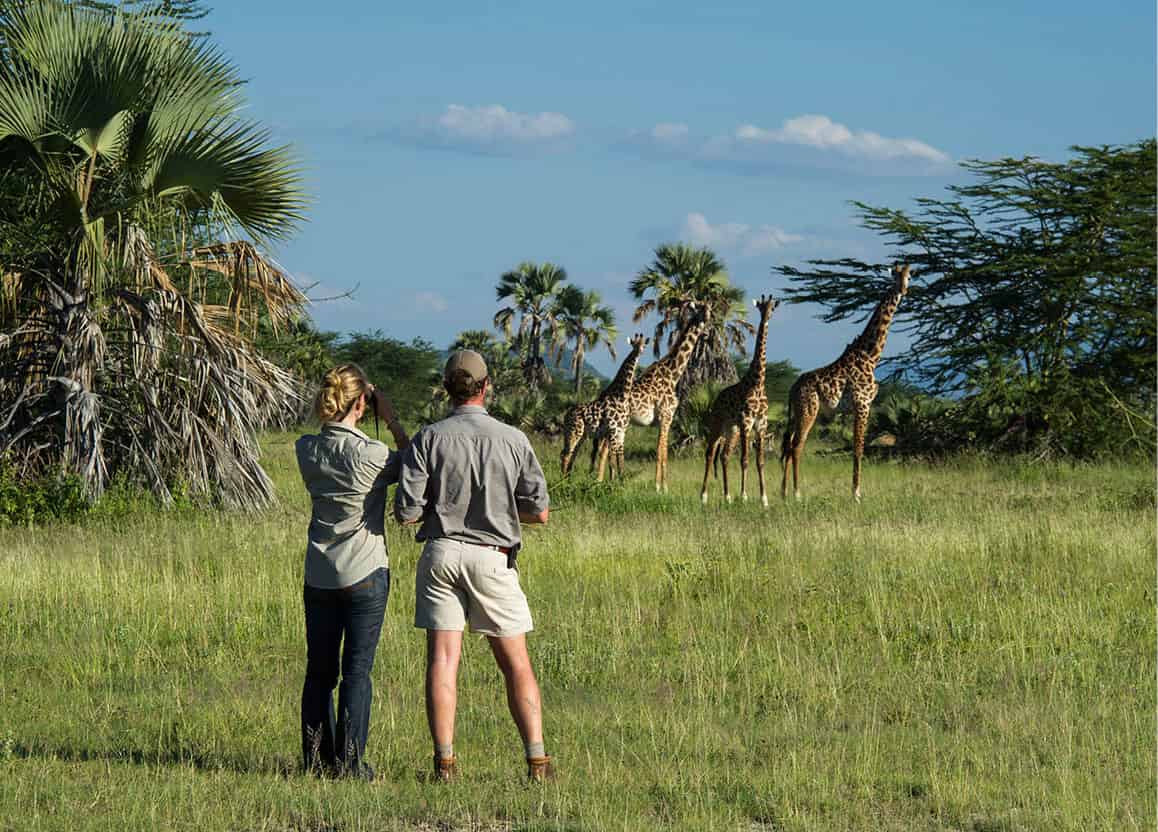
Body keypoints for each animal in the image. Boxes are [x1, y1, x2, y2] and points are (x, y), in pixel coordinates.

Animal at [562, 331, 653, 475]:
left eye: (644, 345)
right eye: (634, 344)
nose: (640, 352)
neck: (621, 394)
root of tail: (566, 416)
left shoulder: (621, 431)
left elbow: (618, 458)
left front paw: (619, 479)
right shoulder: (614, 430)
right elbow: (611, 458)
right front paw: (611, 479)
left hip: (581, 434)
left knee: (571, 454)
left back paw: (568, 477)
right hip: (575, 431)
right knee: (566, 454)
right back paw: (563, 479)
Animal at [620, 303, 708, 491]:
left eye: (710, 311)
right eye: (700, 312)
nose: (706, 333)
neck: (673, 372)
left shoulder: (662, 420)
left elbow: (660, 450)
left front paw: (658, 485)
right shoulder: (666, 416)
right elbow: (663, 452)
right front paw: (662, 487)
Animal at [694, 296, 778, 512]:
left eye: (772, 308)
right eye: (761, 308)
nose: (766, 318)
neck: (757, 383)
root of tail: (716, 399)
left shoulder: (761, 425)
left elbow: (760, 461)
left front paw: (764, 499)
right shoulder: (746, 423)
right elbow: (745, 460)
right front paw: (744, 496)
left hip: (731, 429)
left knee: (724, 456)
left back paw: (727, 497)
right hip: (717, 424)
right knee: (710, 454)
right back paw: (703, 496)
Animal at [782, 267, 907, 502]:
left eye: (909, 275)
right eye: (895, 275)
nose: (903, 289)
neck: (871, 355)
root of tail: (792, 389)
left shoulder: (859, 407)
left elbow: (858, 447)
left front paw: (856, 491)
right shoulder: (862, 404)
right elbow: (858, 449)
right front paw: (856, 494)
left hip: (797, 413)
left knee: (787, 444)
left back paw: (784, 492)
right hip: (809, 410)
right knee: (797, 446)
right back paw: (797, 493)